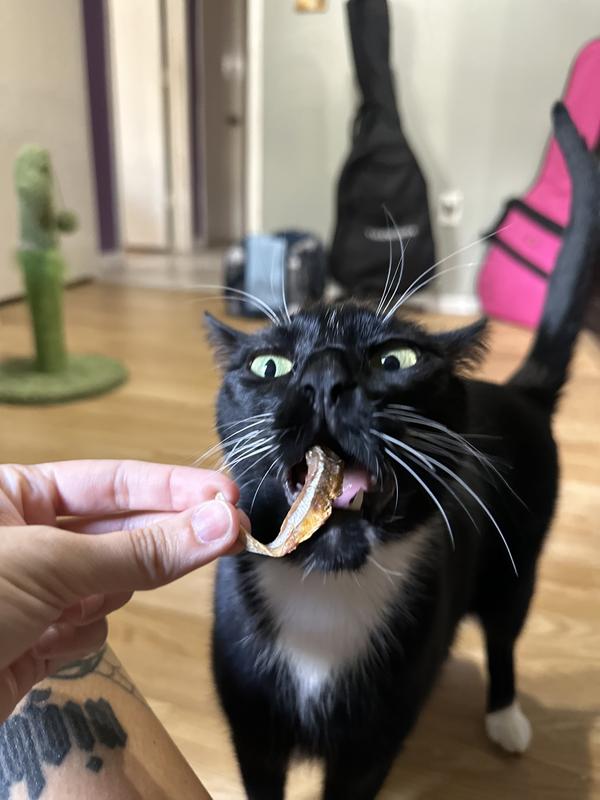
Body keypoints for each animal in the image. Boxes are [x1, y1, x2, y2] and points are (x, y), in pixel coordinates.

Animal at [206, 104, 599, 800]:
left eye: (397, 360)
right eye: (269, 365)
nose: (325, 376)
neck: (324, 597)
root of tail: (521, 392)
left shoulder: (372, 744)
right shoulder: (251, 731)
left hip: (518, 562)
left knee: (505, 635)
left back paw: (507, 719)